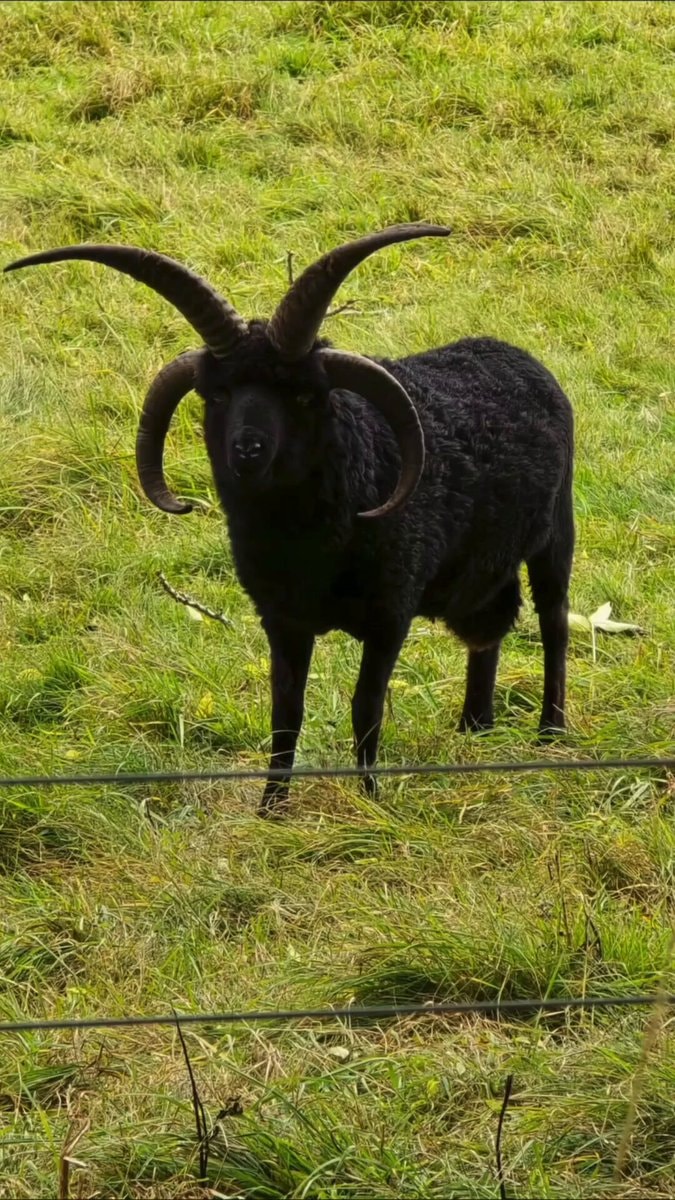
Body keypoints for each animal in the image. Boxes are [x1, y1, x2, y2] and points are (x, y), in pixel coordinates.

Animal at [5, 224, 574, 814]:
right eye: (218, 394)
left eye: (302, 395)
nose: (247, 450)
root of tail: (515, 354)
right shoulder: (281, 619)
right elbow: (286, 712)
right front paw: (271, 808)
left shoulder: (390, 613)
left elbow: (365, 709)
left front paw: (370, 798)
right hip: (483, 570)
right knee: (490, 628)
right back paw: (474, 726)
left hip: (555, 534)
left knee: (553, 623)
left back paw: (551, 731)